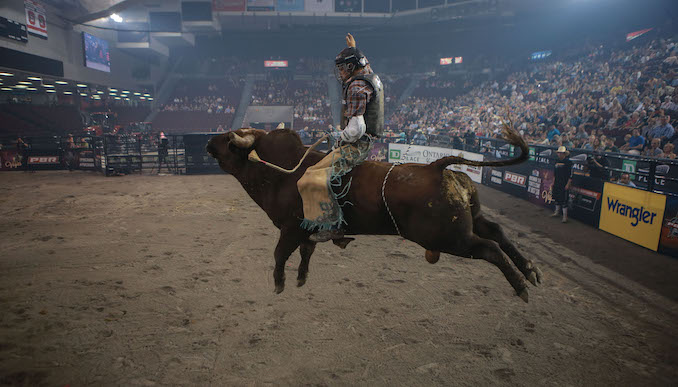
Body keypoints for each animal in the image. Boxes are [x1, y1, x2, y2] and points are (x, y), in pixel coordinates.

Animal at [205, 127, 544, 304]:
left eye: (228, 139)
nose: (208, 140)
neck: (281, 172)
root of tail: (438, 167)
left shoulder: (290, 228)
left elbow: (279, 254)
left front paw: (279, 283)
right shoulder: (306, 232)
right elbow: (306, 253)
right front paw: (301, 278)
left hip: (452, 238)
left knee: (490, 248)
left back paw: (520, 285)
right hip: (470, 221)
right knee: (497, 231)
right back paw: (530, 270)